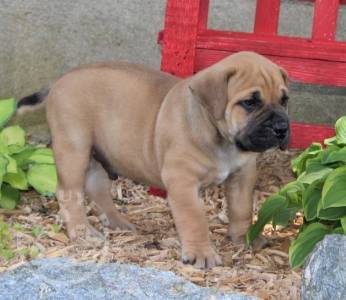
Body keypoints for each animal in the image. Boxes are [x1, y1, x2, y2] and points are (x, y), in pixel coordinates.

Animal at [18, 50, 290, 268]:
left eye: (284, 100)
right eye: (249, 103)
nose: (281, 128)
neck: (222, 139)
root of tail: (59, 81)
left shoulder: (242, 176)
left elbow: (242, 209)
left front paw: (245, 237)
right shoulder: (182, 181)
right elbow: (195, 219)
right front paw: (201, 253)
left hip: (97, 153)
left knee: (96, 187)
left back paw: (118, 223)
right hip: (74, 148)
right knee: (69, 192)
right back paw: (82, 232)